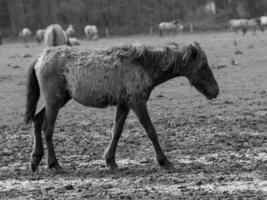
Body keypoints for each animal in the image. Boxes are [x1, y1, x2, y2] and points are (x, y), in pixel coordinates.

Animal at [24, 42, 220, 173]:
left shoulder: (124, 104)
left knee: (37, 121)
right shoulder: (137, 102)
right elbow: (151, 131)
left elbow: (117, 131)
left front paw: (111, 161)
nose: (215, 91)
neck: (143, 65)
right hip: (54, 102)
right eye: (203, 65)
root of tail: (41, 57)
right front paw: (165, 162)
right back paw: (54, 165)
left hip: (59, 101)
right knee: (47, 129)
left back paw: (35, 160)